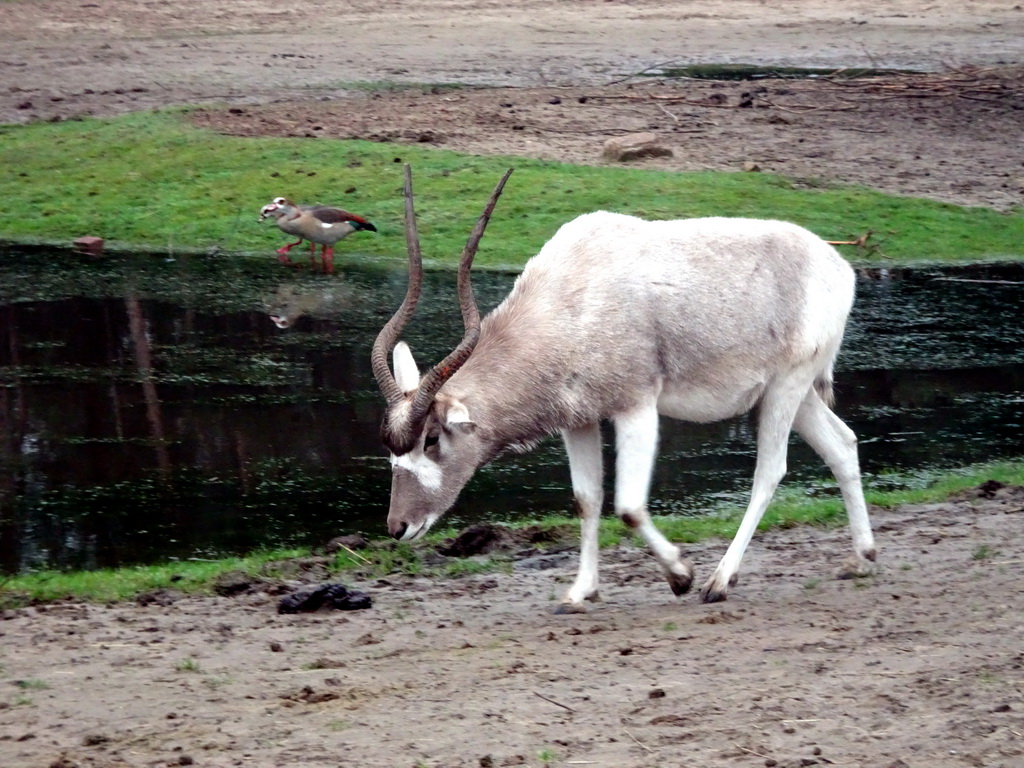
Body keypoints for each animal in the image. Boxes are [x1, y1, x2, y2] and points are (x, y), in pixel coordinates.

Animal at [372, 167, 876, 614]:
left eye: (431, 439)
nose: (398, 527)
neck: (569, 300)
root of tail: (839, 266)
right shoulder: (578, 420)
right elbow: (587, 500)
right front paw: (581, 592)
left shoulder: (636, 406)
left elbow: (629, 506)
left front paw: (680, 576)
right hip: (792, 392)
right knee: (842, 444)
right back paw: (862, 558)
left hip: (786, 386)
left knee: (769, 470)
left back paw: (719, 581)